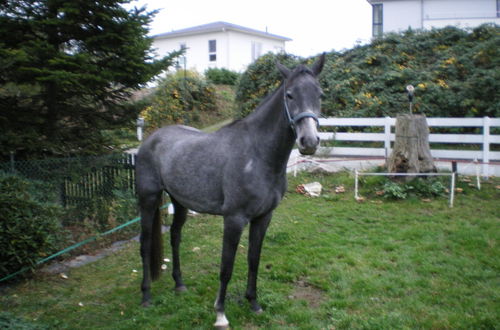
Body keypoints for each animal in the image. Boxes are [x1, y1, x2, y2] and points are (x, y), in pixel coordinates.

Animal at [135, 54, 326, 328]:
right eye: (289, 95)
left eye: (320, 94)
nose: (309, 142)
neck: (258, 154)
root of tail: (151, 139)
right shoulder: (234, 219)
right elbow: (226, 267)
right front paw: (220, 314)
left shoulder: (263, 217)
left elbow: (254, 260)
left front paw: (254, 303)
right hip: (148, 199)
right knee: (145, 243)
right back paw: (146, 296)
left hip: (179, 202)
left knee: (175, 237)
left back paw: (179, 285)